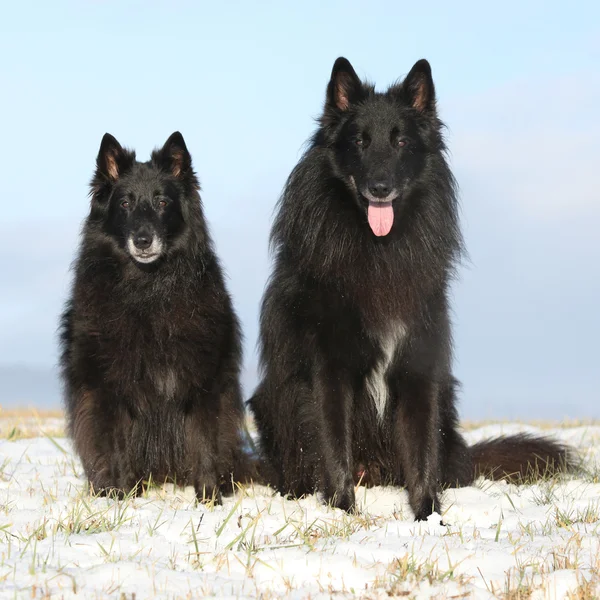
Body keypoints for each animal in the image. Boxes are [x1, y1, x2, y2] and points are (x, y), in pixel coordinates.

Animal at [59, 131, 251, 502]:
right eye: (125, 204)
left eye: (162, 203)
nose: (143, 240)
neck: (148, 289)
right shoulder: (110, 385)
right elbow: (116, 443)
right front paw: (122, 496)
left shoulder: (202, 379)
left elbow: (204, 440)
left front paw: (209, 497)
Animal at [250, 57, 576, 520]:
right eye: (360, 141)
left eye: (401, 141)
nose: (380, 187)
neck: (378, 251)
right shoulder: (327, 371)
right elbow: (333, 447)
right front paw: (342, 513)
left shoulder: (419, 364)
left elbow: (421, 450)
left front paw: (427, 517)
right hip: (269, 403)